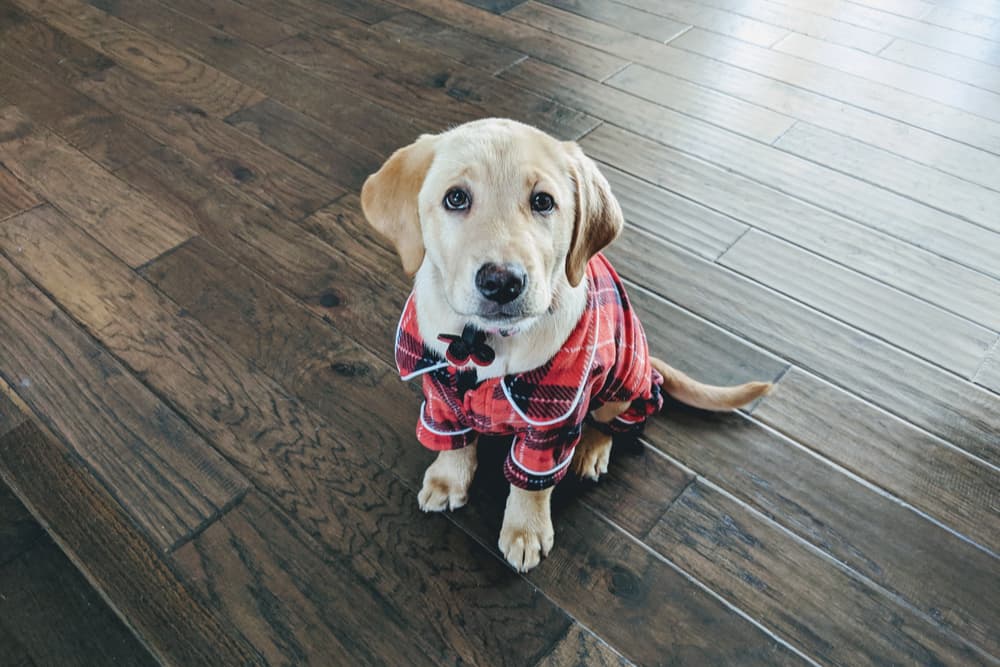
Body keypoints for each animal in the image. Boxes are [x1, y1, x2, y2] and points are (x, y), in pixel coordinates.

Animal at [362, 118, 772, 576]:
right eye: (455, 198)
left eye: (543, 202)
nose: (502, 282)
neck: (486, 343)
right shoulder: (437, 388)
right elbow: (454, 440)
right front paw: (447, 479)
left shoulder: (552, 421)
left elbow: (533, 483)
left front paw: (525, 530)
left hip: (621, 384)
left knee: (612, 420)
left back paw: (590, 449)